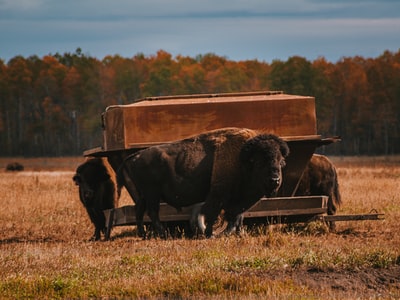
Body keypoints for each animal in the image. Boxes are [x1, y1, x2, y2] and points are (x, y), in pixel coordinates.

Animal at [117, 127, 290, 238]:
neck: (242, 160)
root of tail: (136, 156)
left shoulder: (237, 202)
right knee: (152, 212)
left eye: (281, 162)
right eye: (260, 162)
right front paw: (210, 234)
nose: (275, 180)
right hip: (152, 194)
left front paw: (237, 233)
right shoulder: (218, 195)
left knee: (140, 210)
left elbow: (236, 216)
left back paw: (143, 234)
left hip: (144, 195)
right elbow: (213, 213)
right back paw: (163, 234)